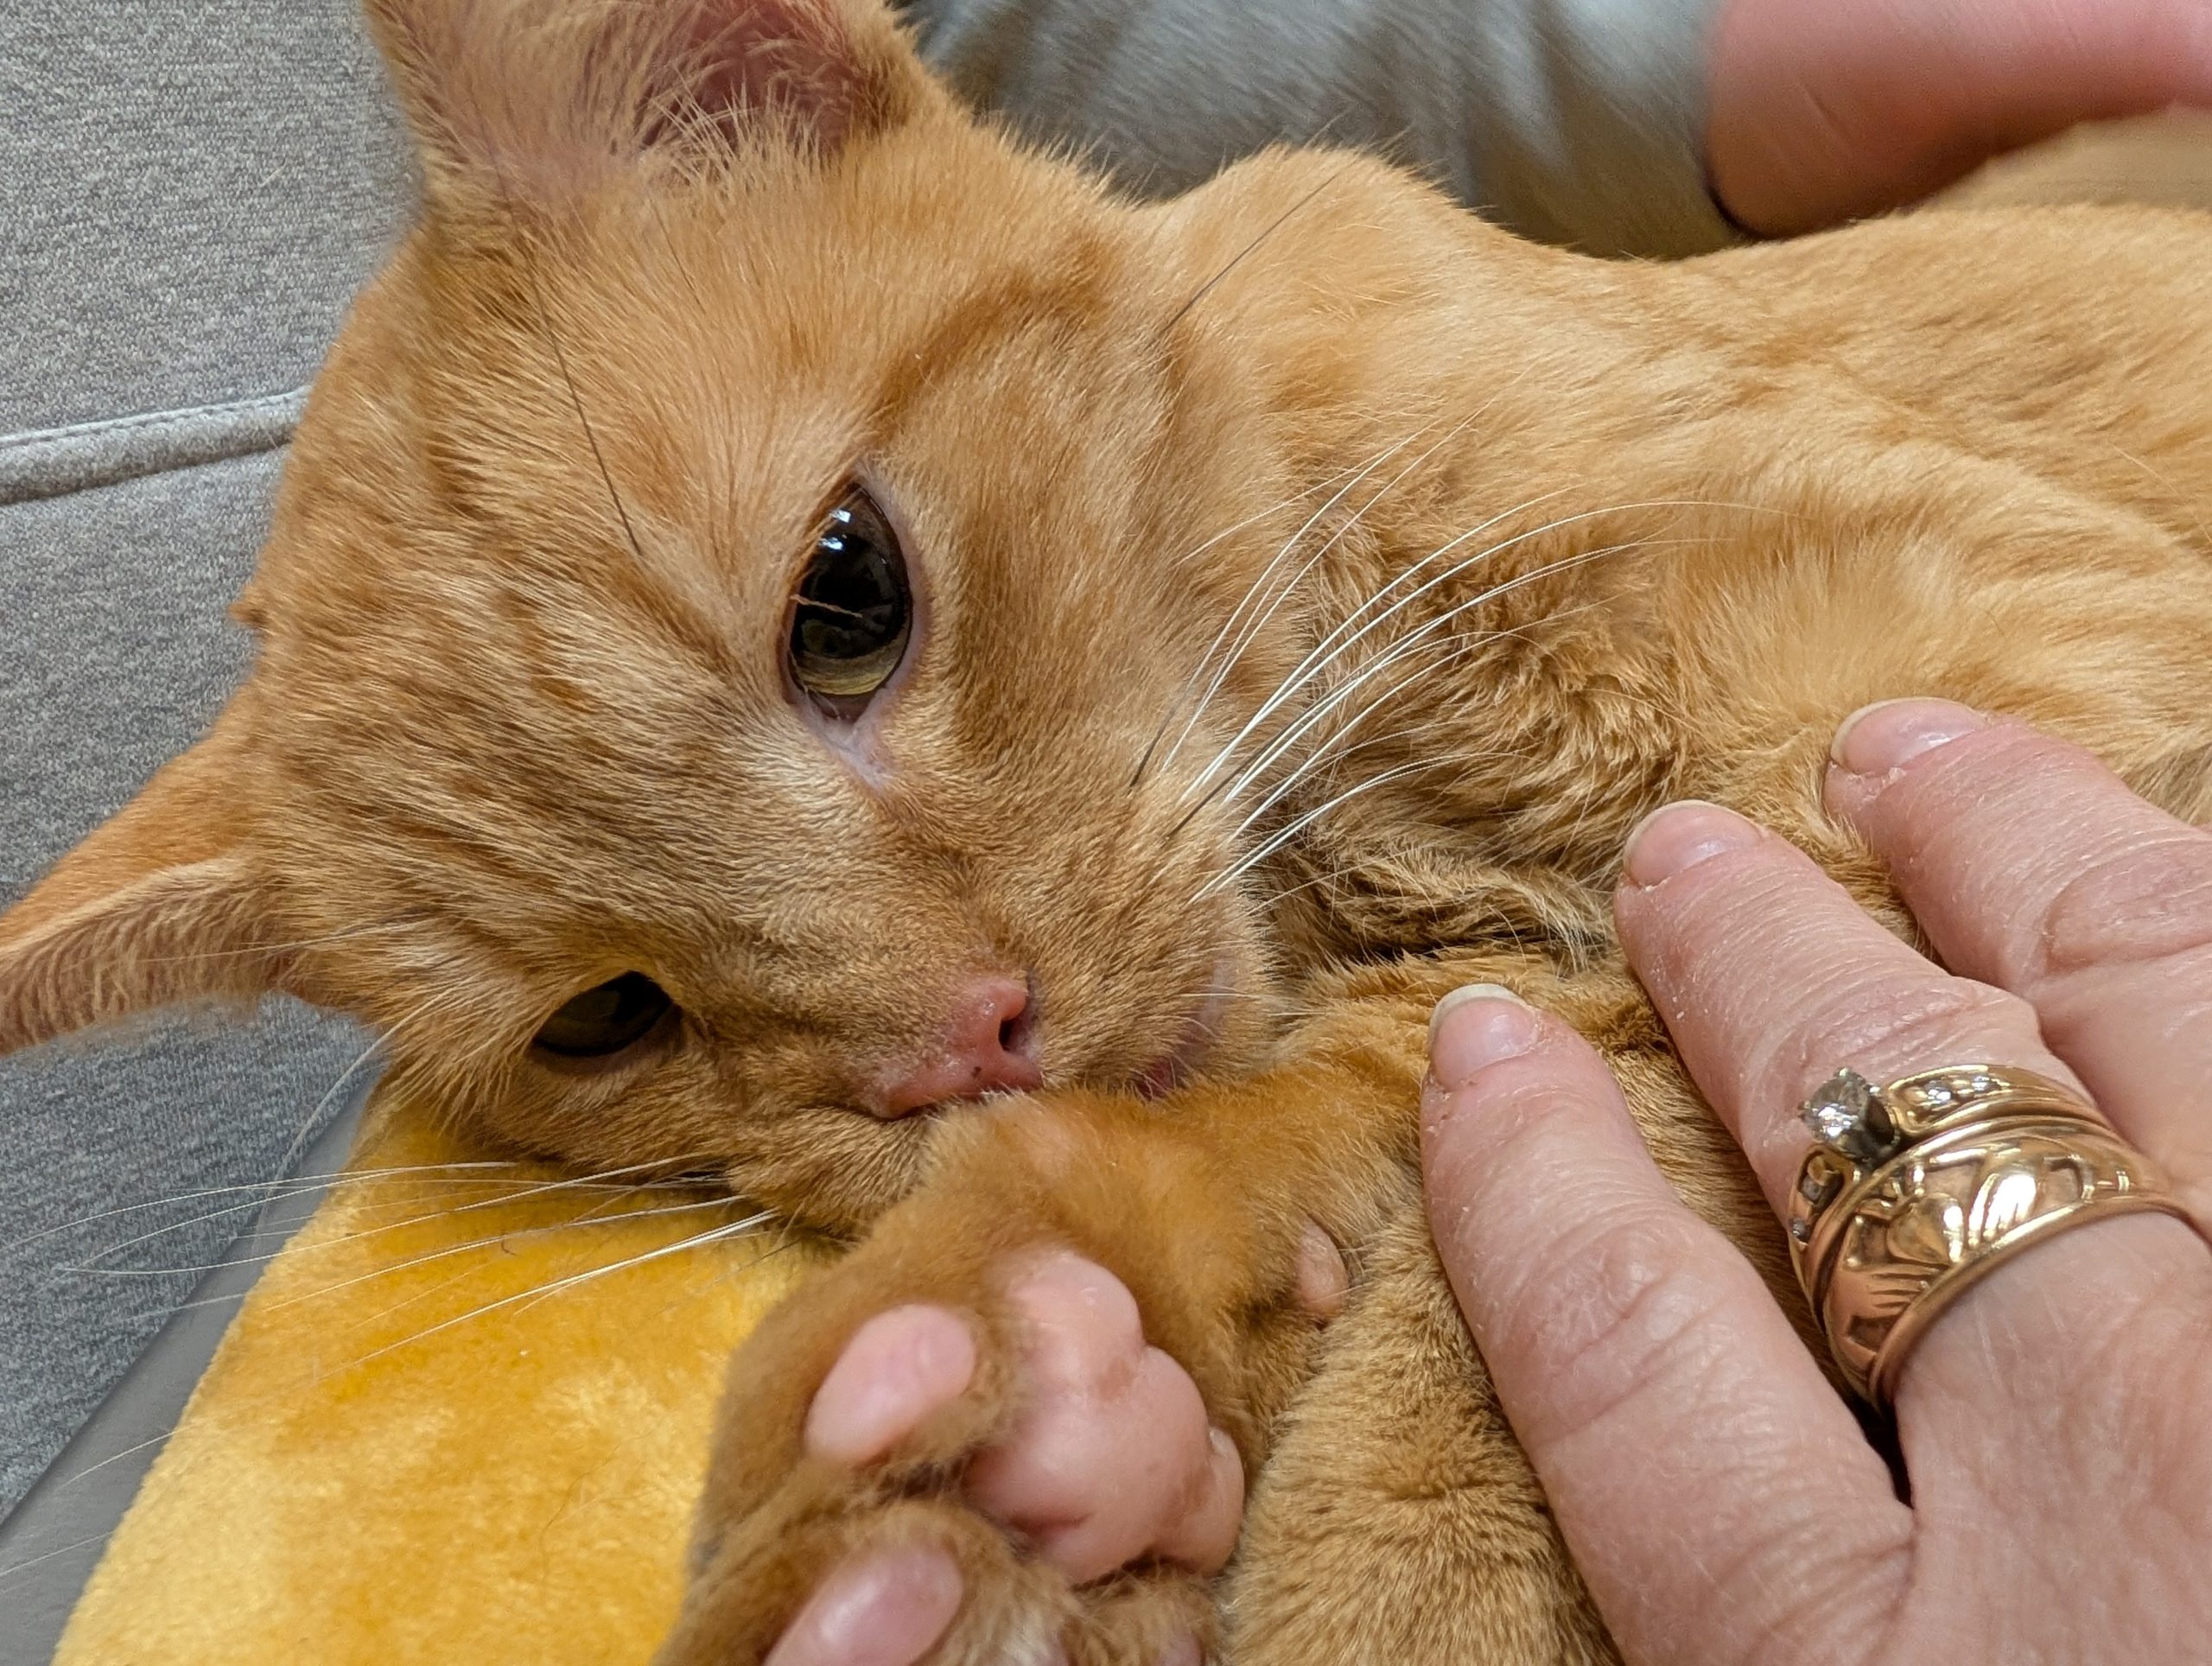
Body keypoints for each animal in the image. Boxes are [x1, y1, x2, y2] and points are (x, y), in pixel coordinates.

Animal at [4, 0, 2210, 1660]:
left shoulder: (1961, 680)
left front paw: (1396, 1578)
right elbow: (1388, 1106)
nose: (958, 1045)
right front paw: (1039, 1395)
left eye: (846, 596)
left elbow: (1596, 1152)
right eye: (602, 1023)